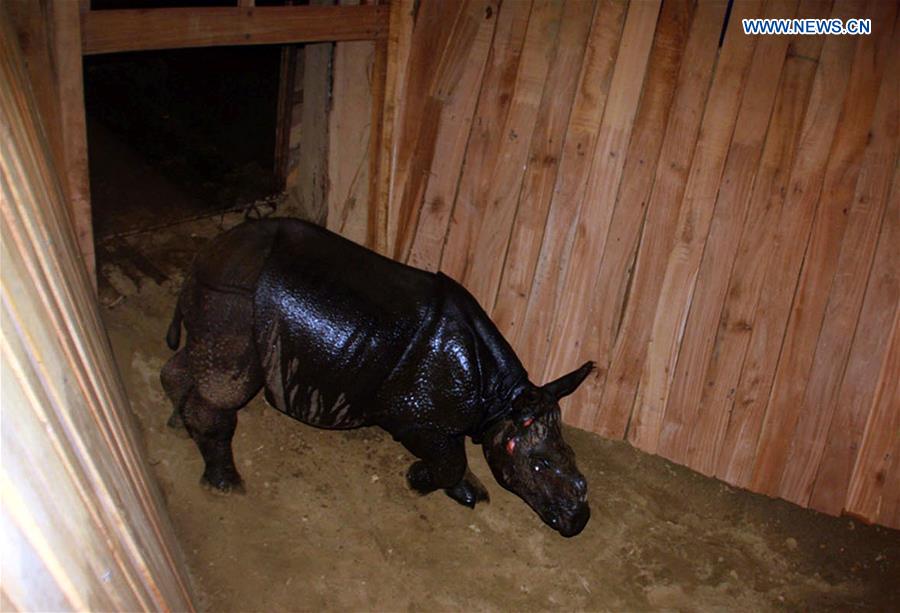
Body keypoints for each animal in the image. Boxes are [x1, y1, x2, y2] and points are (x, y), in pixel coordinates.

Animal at [162, 218, 593, 537]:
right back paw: (226, 485)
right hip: (236, 296)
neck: (502, 399)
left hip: (221, 294)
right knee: (228, 383)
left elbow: (455, 458)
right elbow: (450, 459)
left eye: (571, 456)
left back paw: (178, 425)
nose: (578, 521)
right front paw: (419, 479)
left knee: (200, 355)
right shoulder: (413, 416)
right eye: (539, 466)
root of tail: (211, 249)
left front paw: (468, 492)